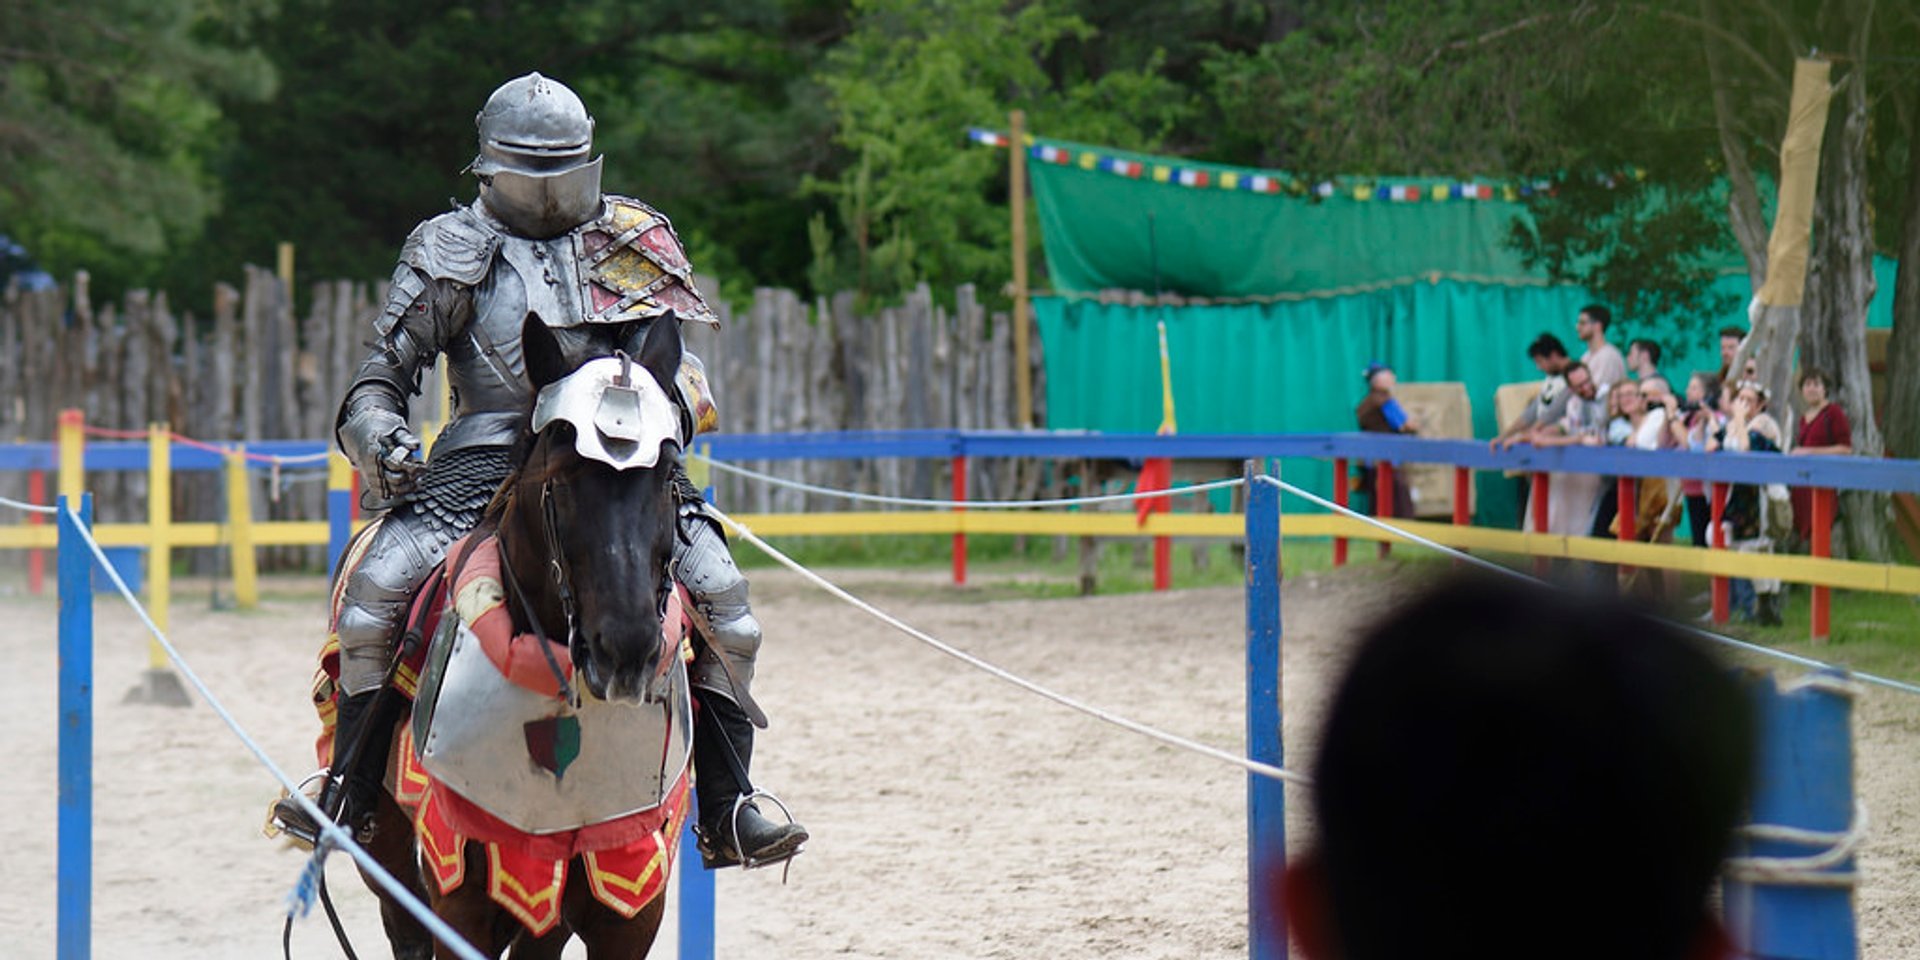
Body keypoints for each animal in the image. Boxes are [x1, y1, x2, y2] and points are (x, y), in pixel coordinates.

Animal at [357, 312, 695, 952]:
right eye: (562, 478)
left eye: (666, 474)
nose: (627, 650)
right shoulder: (457, 900)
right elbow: (383, 369)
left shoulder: (632, 903)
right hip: (391, 867)